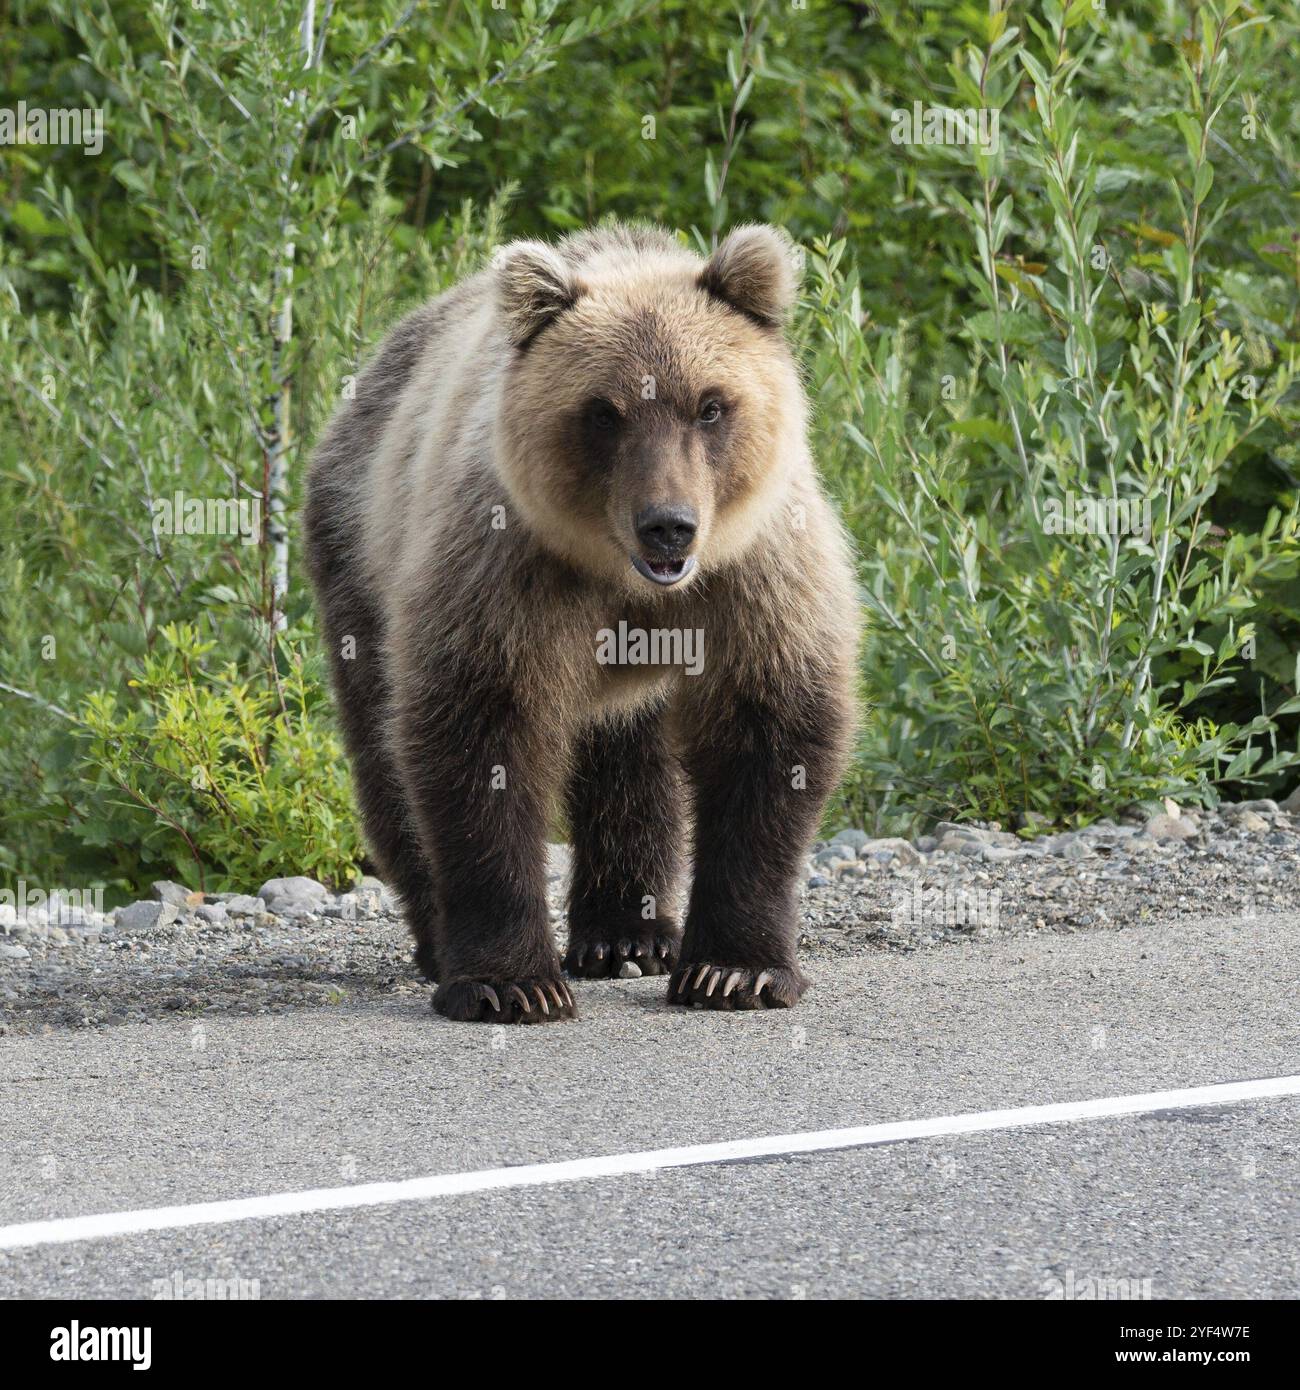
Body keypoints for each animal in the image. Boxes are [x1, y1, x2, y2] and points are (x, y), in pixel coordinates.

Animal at [301, 219, 856, 1023]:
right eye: (603, 411)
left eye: (710, 405)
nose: (669, 526)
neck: (623, 579)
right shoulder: (506, 569)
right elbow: (481, 732)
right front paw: (510, 983)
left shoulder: (753, 575)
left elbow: (769, 728)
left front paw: (733, 972)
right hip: (359, 553)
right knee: (383, 749)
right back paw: (441, 938)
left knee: (631, 757)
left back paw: (628, 933)